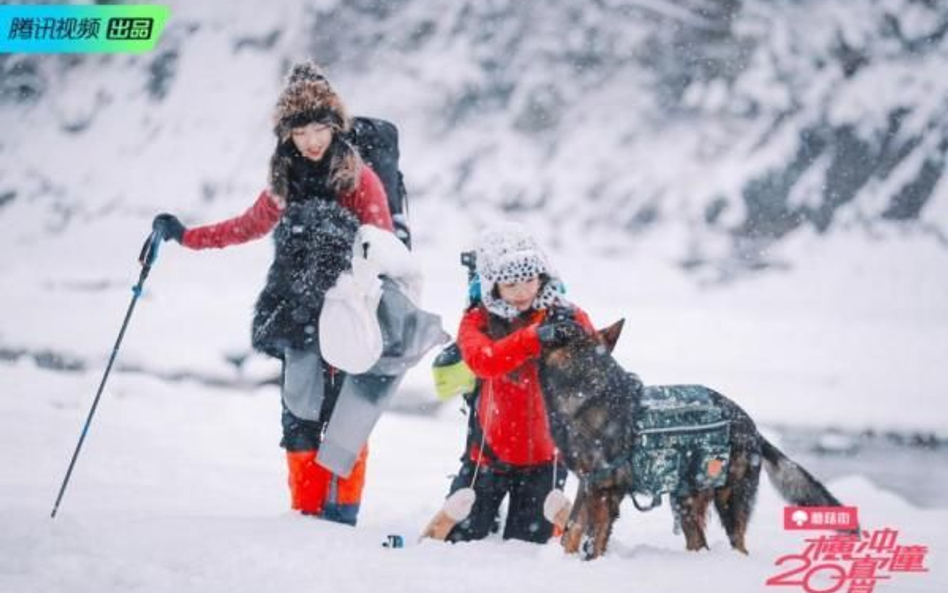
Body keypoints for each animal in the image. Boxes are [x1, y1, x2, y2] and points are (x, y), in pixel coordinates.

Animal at [540, 316, 844, 556]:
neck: (586, 387)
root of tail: (753, 428)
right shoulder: (588, 483)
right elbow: (572, 530)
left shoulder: (604, 492)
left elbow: (593, 541)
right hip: (686, 501)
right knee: (700, 543)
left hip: (728, 500)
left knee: (738, 545)